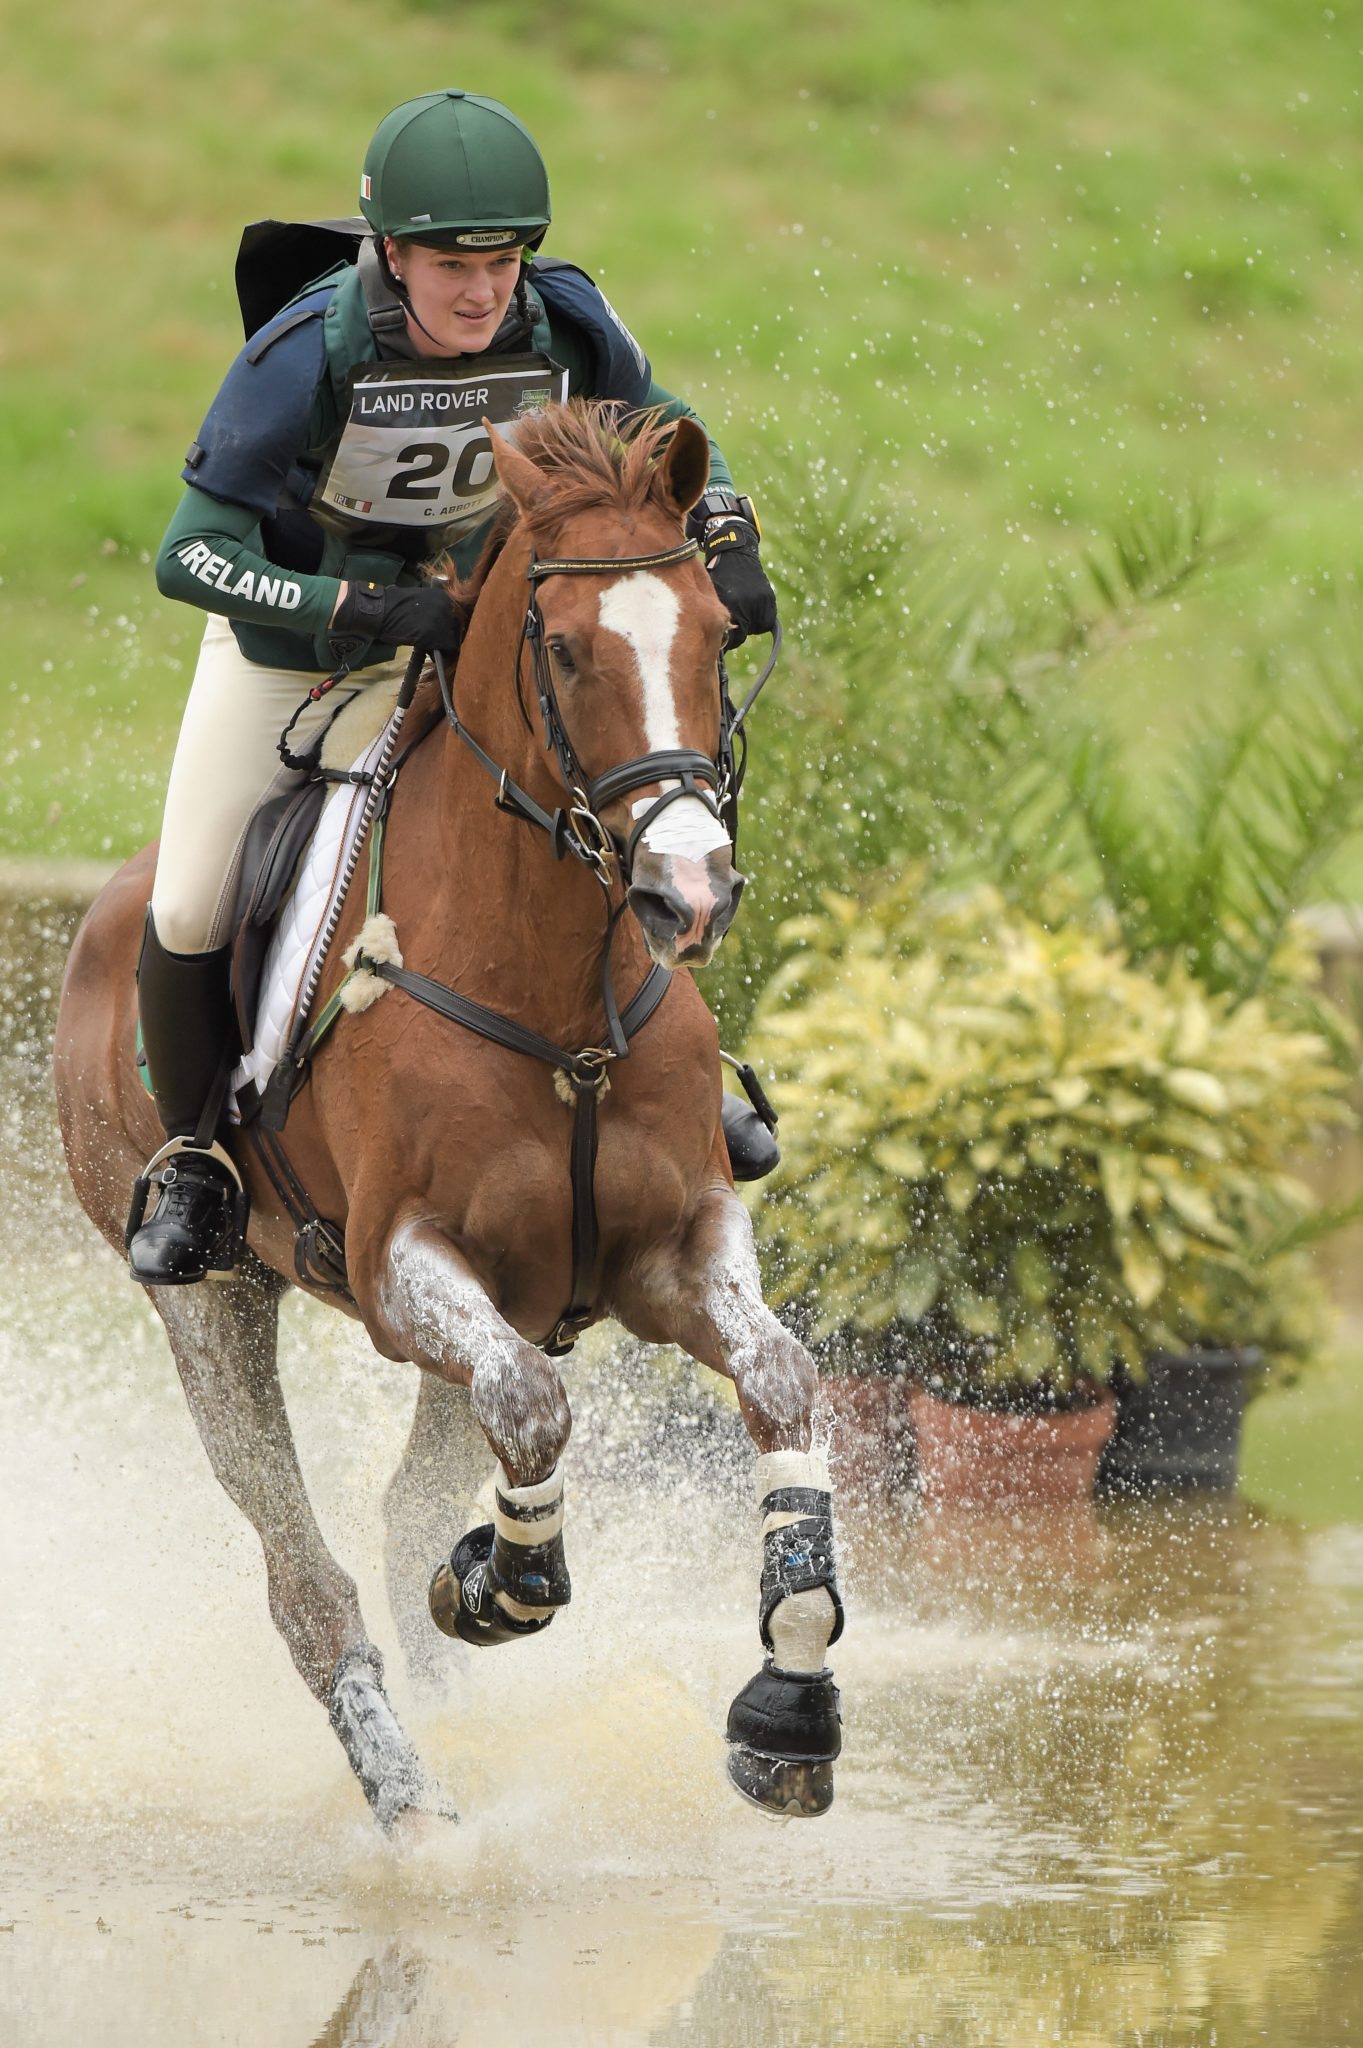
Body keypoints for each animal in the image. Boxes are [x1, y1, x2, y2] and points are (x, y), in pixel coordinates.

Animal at [53, 399, 843, 1826]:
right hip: (209, 1298)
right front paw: (502, 1579)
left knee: (402, 1502)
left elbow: (778, 1378)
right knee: (302, 1570)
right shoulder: (398, 1265)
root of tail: (102, 915)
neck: (556, 986)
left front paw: (791, 1700)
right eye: (569, 651)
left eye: (715, 630)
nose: (690, 892)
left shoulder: (669, 1248)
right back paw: (411, 1798)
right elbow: (530, 1408)